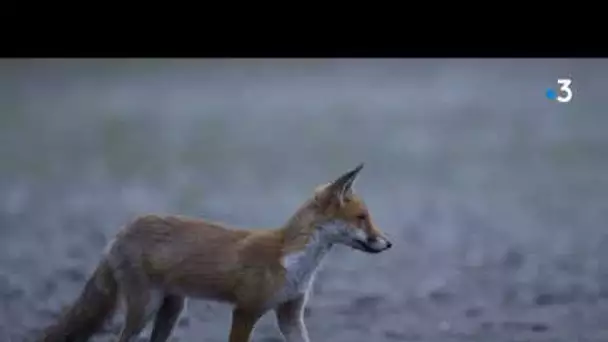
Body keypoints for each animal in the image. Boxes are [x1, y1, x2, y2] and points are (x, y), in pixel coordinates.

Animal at [44, 164, 394, 342]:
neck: (292, 264)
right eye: (362, 218)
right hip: (145, 308)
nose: (388, 243)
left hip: (172, 310)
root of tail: (123, 228)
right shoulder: (245, 310)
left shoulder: (290, 315)